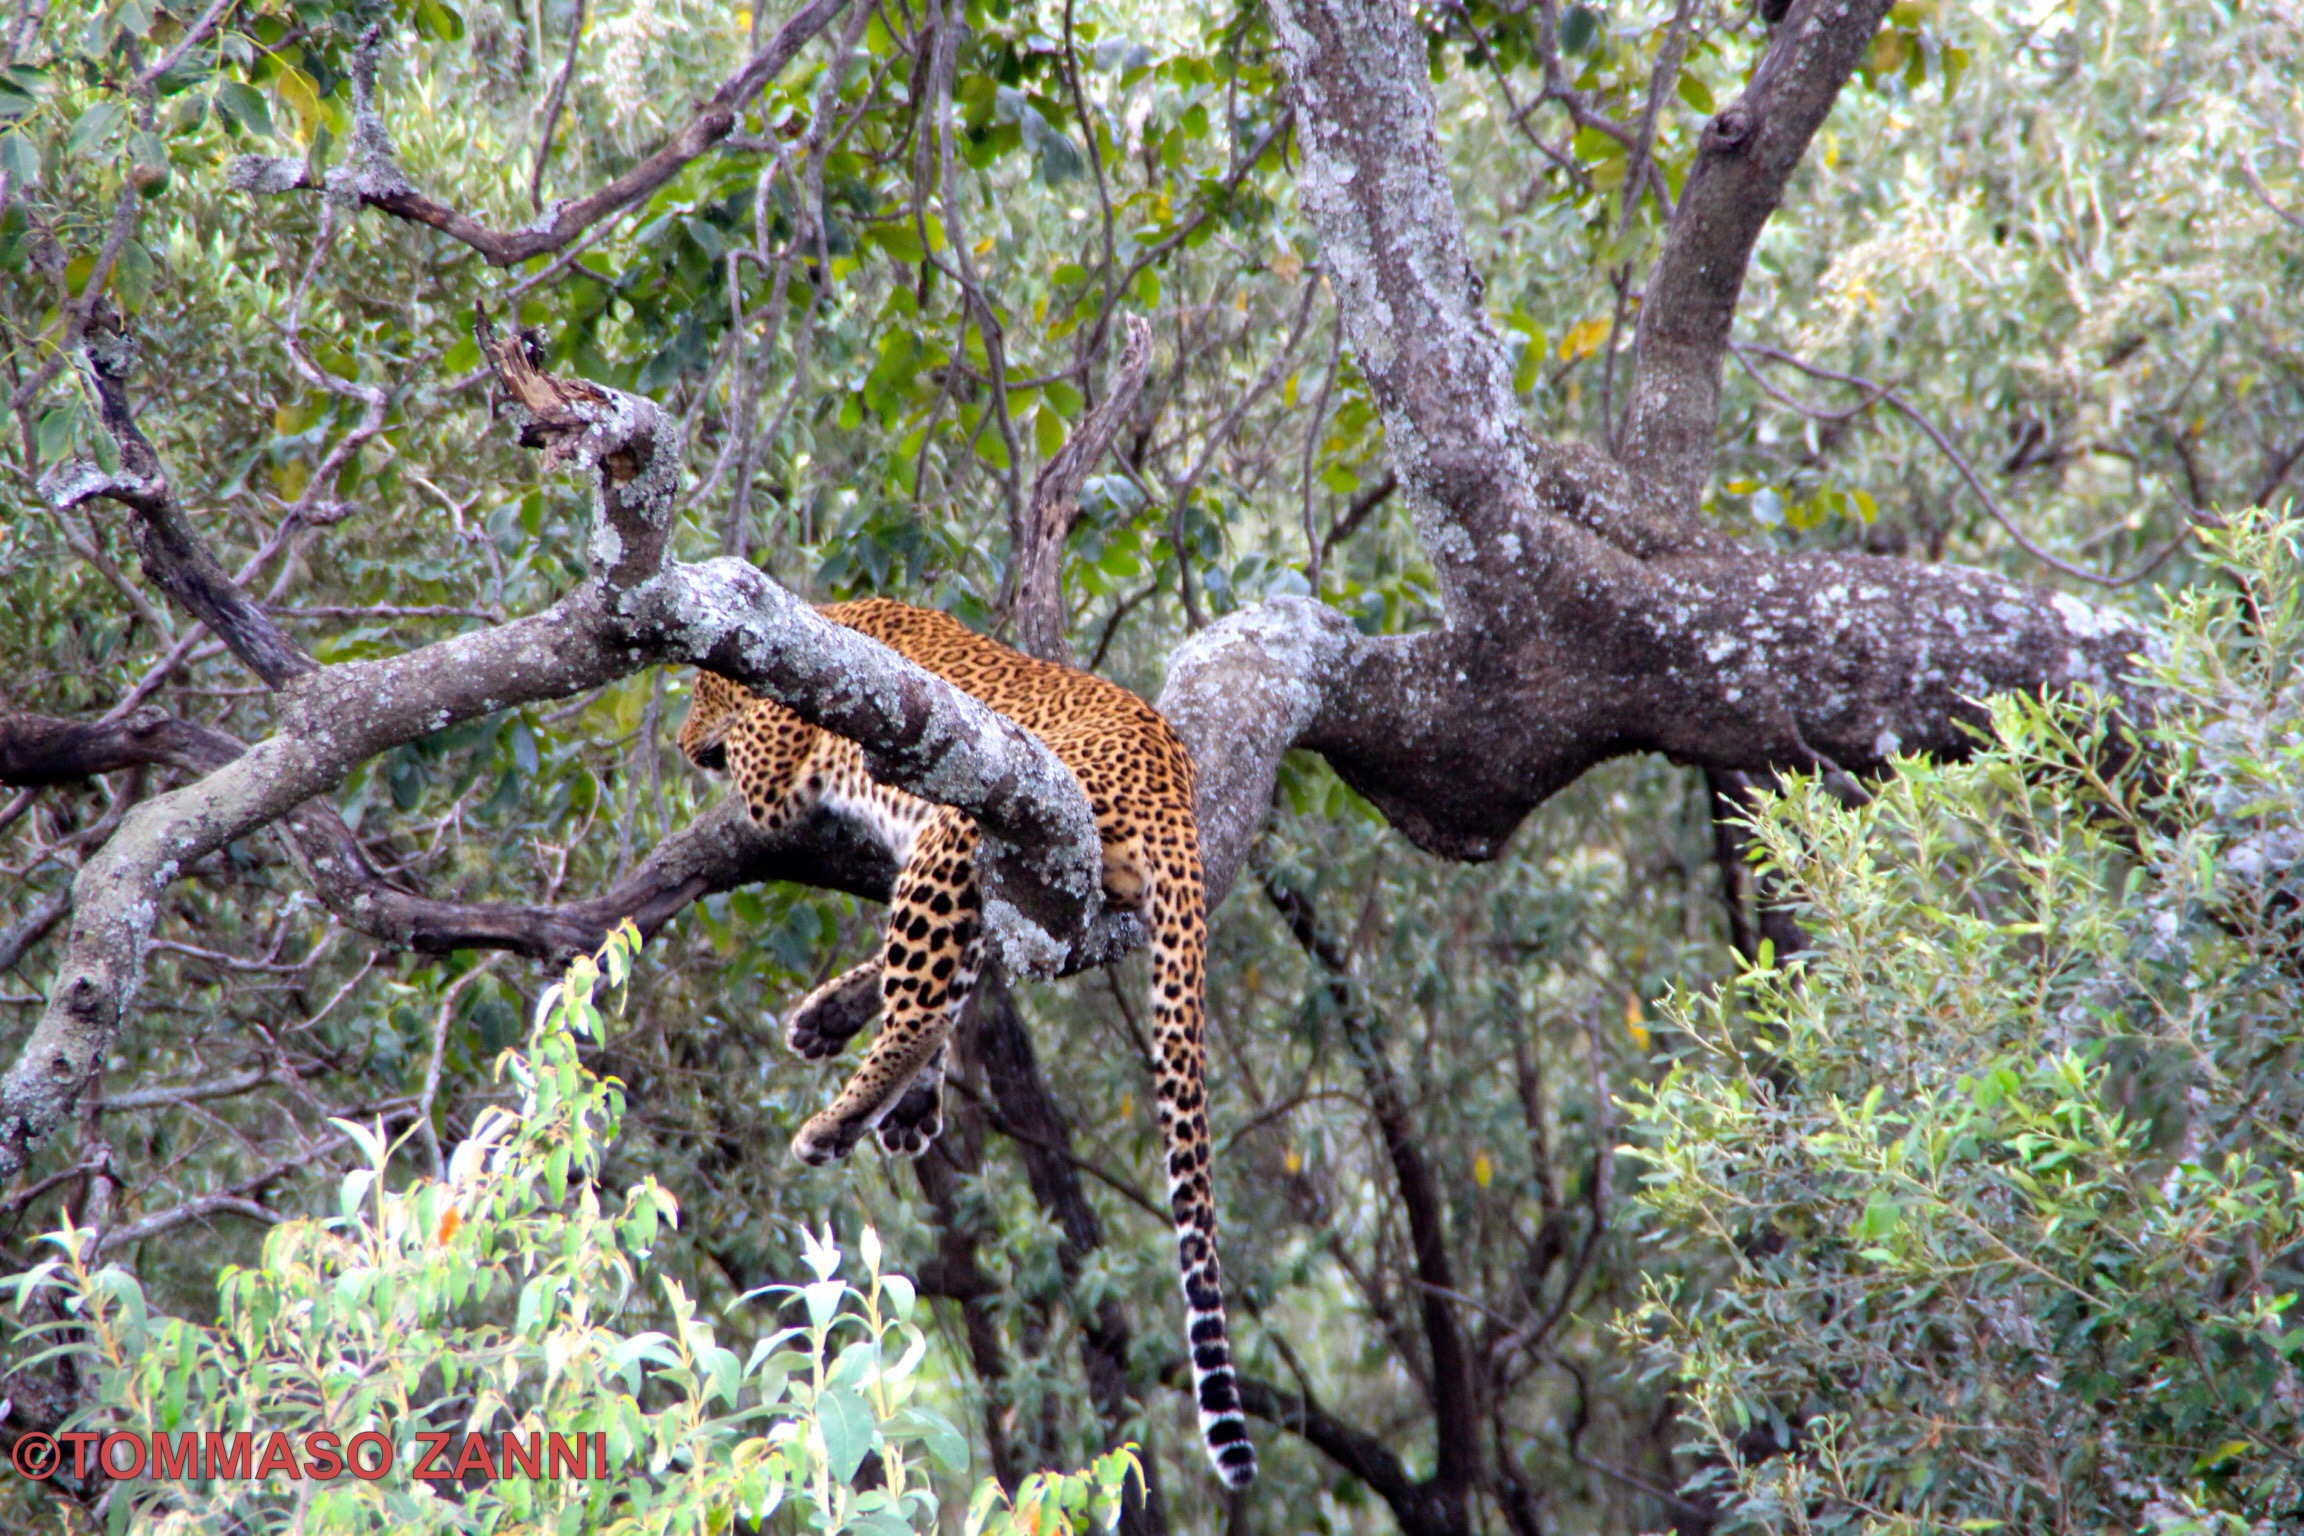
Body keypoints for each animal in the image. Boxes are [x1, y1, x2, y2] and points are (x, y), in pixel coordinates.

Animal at [676, 597, 1257, 1488]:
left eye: (701, 692)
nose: (680, 745)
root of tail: (1173, 785)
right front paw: (836, 1027)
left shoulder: (774, 774)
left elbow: (757, 771)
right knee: (944, 988)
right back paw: (869, 1065)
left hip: (968, 819)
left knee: (921, 1005)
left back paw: (834, 1123)